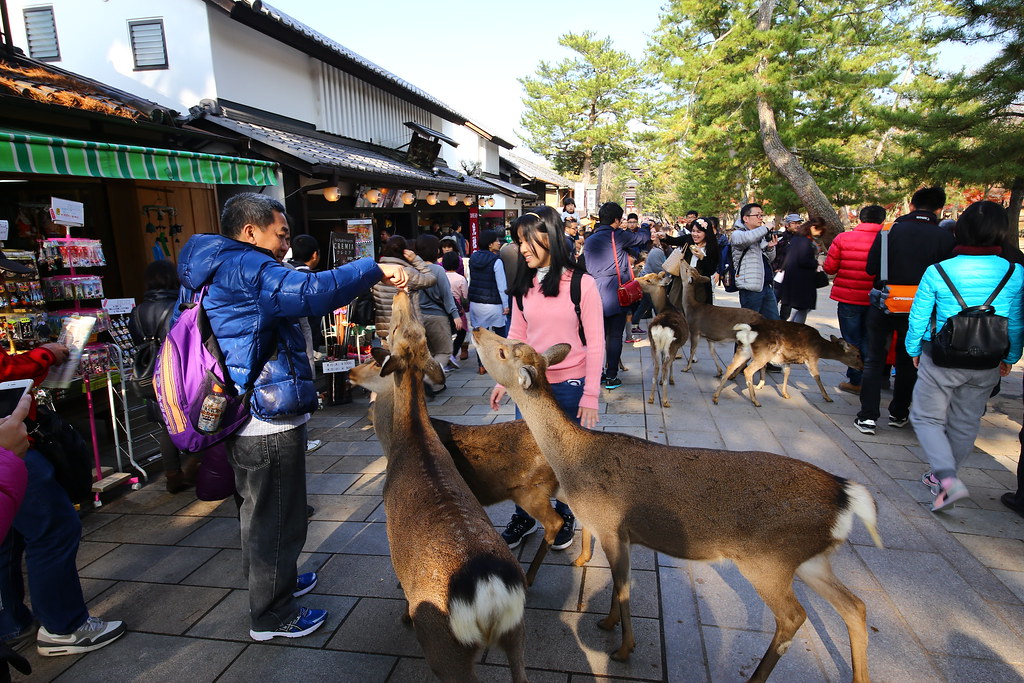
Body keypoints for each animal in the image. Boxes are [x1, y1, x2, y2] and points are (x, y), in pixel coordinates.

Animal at [352, 358, 593, 581]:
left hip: (530, 490)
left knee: (555, 522)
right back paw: (581, 559)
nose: (351, 372)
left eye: (375, 362)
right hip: (557, 485)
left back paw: (530, 576)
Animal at [376, 294, 528, 683]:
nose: (401, 294)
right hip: (516, 629)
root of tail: (488, 590)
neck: (410, 440)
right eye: (411, 328)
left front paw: (402, 612)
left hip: (444, 648)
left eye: (394, 330)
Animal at [630, 272, 688, 405]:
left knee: (656, 366)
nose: (635, 279)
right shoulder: (676, 347)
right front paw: (670, 380)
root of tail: (662, 327)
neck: (664, 307)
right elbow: (671, 364)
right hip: (671, 346)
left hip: (653, 344)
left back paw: (651, 398)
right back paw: (665, 400)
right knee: (666, 365)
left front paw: (661, 381)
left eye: (648, 280)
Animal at [716, 323, 868, 409]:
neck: (820, 348)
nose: (862, 367)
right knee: (748, 370)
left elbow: (787, 373)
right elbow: (817, 376)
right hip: (763, 354)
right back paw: (755, 401)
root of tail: (747, 331)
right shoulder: (811, 357)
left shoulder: (786, 360)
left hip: (745, 351)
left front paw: (785, 394)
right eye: (858, 354)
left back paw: (716, 396)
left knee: (730, 367)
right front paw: (828, 398)